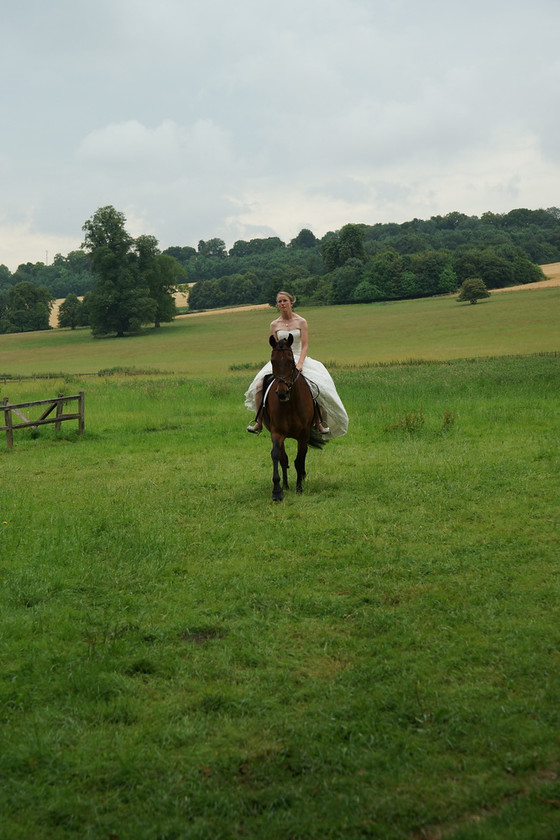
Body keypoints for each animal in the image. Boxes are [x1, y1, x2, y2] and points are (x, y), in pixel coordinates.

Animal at [262, 334, 324, 502]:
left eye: (290, 360)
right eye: (272, 361)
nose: (282, 393)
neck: (290, 404)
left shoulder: (303, 434)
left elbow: (299, 459)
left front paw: (299, 487)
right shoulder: (277, 432)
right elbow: (277, 456)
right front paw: (277, 491)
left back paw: (301, 477)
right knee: (284, 459)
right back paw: (285, 485)